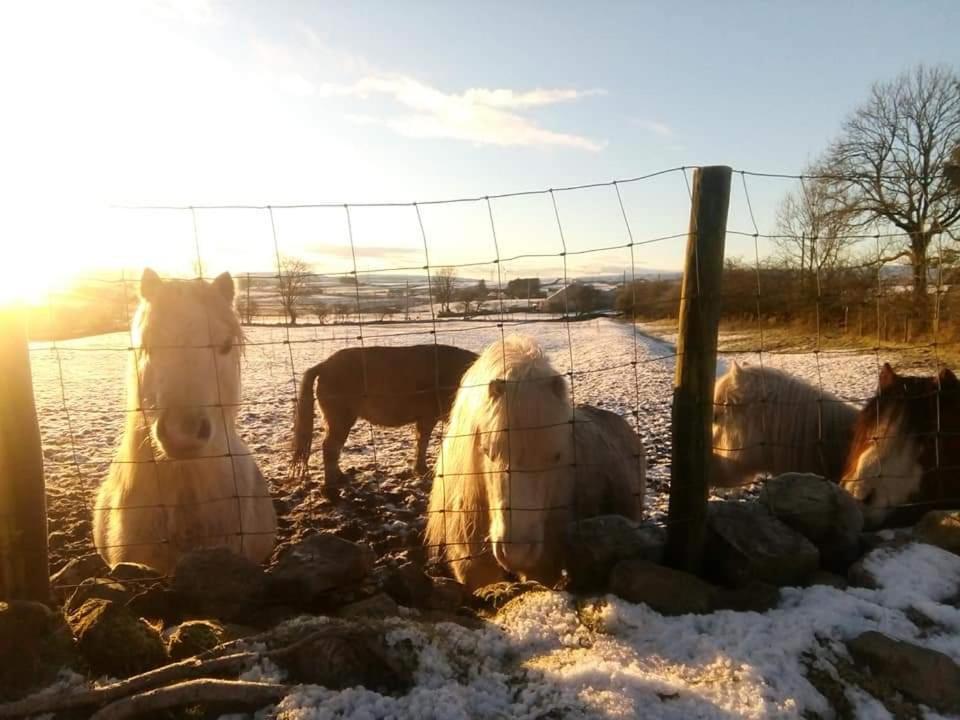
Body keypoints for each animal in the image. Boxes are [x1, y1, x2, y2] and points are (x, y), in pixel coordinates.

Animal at [286, 344, 478, 490]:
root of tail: (324, 365)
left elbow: (420, 440)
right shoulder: (428, 416)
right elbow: (423, 441)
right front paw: (424, 471)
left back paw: (341, 477)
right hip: (340, 417)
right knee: (329, 446)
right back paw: (334, 484)